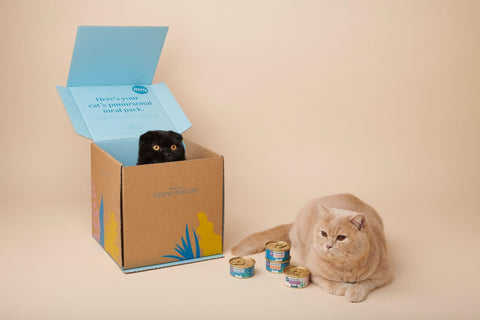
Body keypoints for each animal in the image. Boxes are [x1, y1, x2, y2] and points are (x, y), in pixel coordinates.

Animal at [231, 194, 392, 302]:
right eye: (324, 233)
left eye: (341, 238)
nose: (328, 245)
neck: (344, 268)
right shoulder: (314, 274)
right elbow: (330, 285)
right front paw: (345, 288)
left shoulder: (383, 275)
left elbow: (365, 283)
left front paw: (354, 292)